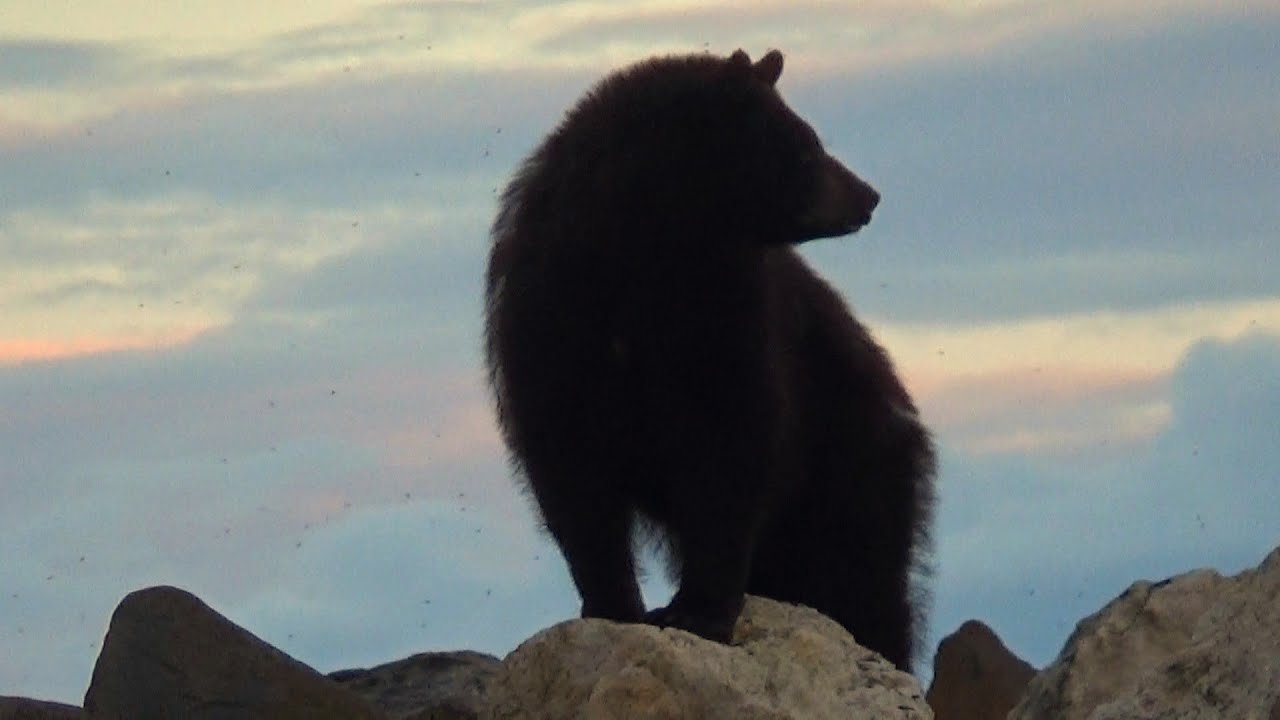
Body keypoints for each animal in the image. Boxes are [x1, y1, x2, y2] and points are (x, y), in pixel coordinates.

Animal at [484, 48, 935, 671]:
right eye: (805, 147)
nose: (868, 195)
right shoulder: (553, 326)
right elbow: (572, 471)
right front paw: (613, 605)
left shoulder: (727, 319)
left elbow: (729, 449)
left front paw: (699, 611)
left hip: (848, 463)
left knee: (858, 574)